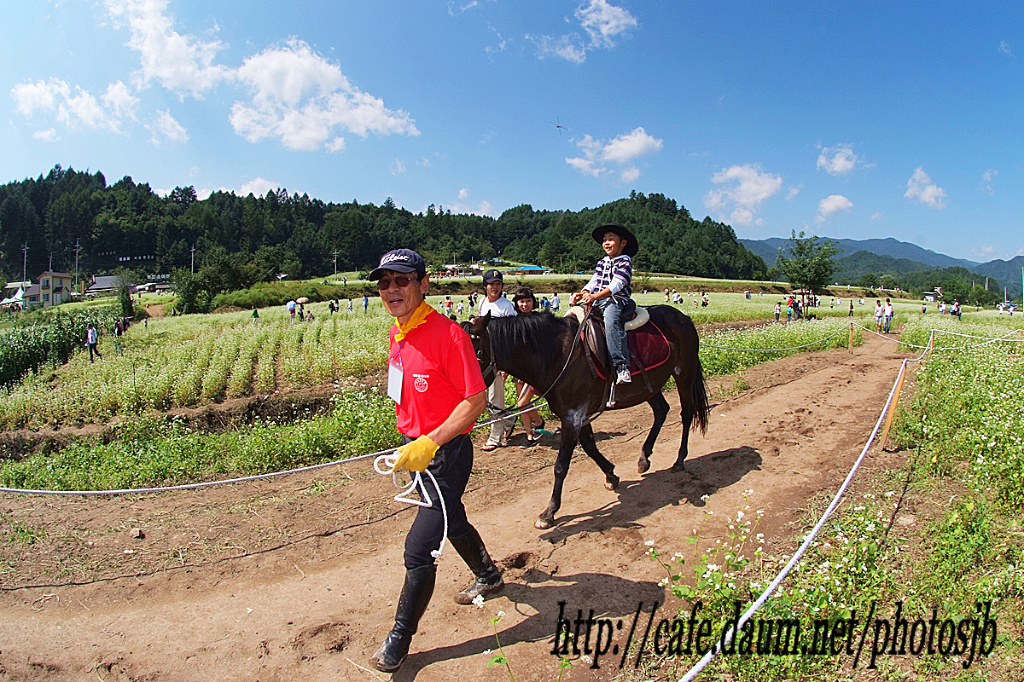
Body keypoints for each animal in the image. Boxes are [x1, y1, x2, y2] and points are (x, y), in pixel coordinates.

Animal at [462, 305, 708, 528]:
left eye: (474, 355)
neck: (556, 354)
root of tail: (683, 317)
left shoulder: (573, 416)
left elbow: (561, 465)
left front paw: (549, 512)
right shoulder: (579, 415)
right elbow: (590, 447)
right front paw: (611, 476)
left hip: (684, 373)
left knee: (686, 414)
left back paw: (679, 460)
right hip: (650, 387)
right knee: (661, 411)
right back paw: (644, 458)